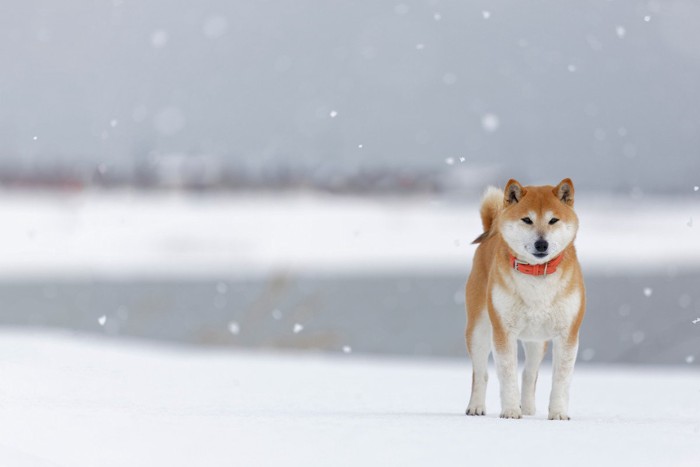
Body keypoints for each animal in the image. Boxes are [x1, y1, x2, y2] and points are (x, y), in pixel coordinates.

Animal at [464, 179, 584, 420]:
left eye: (553, 220)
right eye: (527, 219)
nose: (541, 244)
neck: (536, 274)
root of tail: (492, 230)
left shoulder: (567, 333)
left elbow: (561, 379)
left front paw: (558, 413)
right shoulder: (503, 331)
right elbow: (507, 375)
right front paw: (511, 411)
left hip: (537, 342)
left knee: (529, 374)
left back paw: (528, 409)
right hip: (478, 330)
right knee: (480, 373)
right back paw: (476, 407)